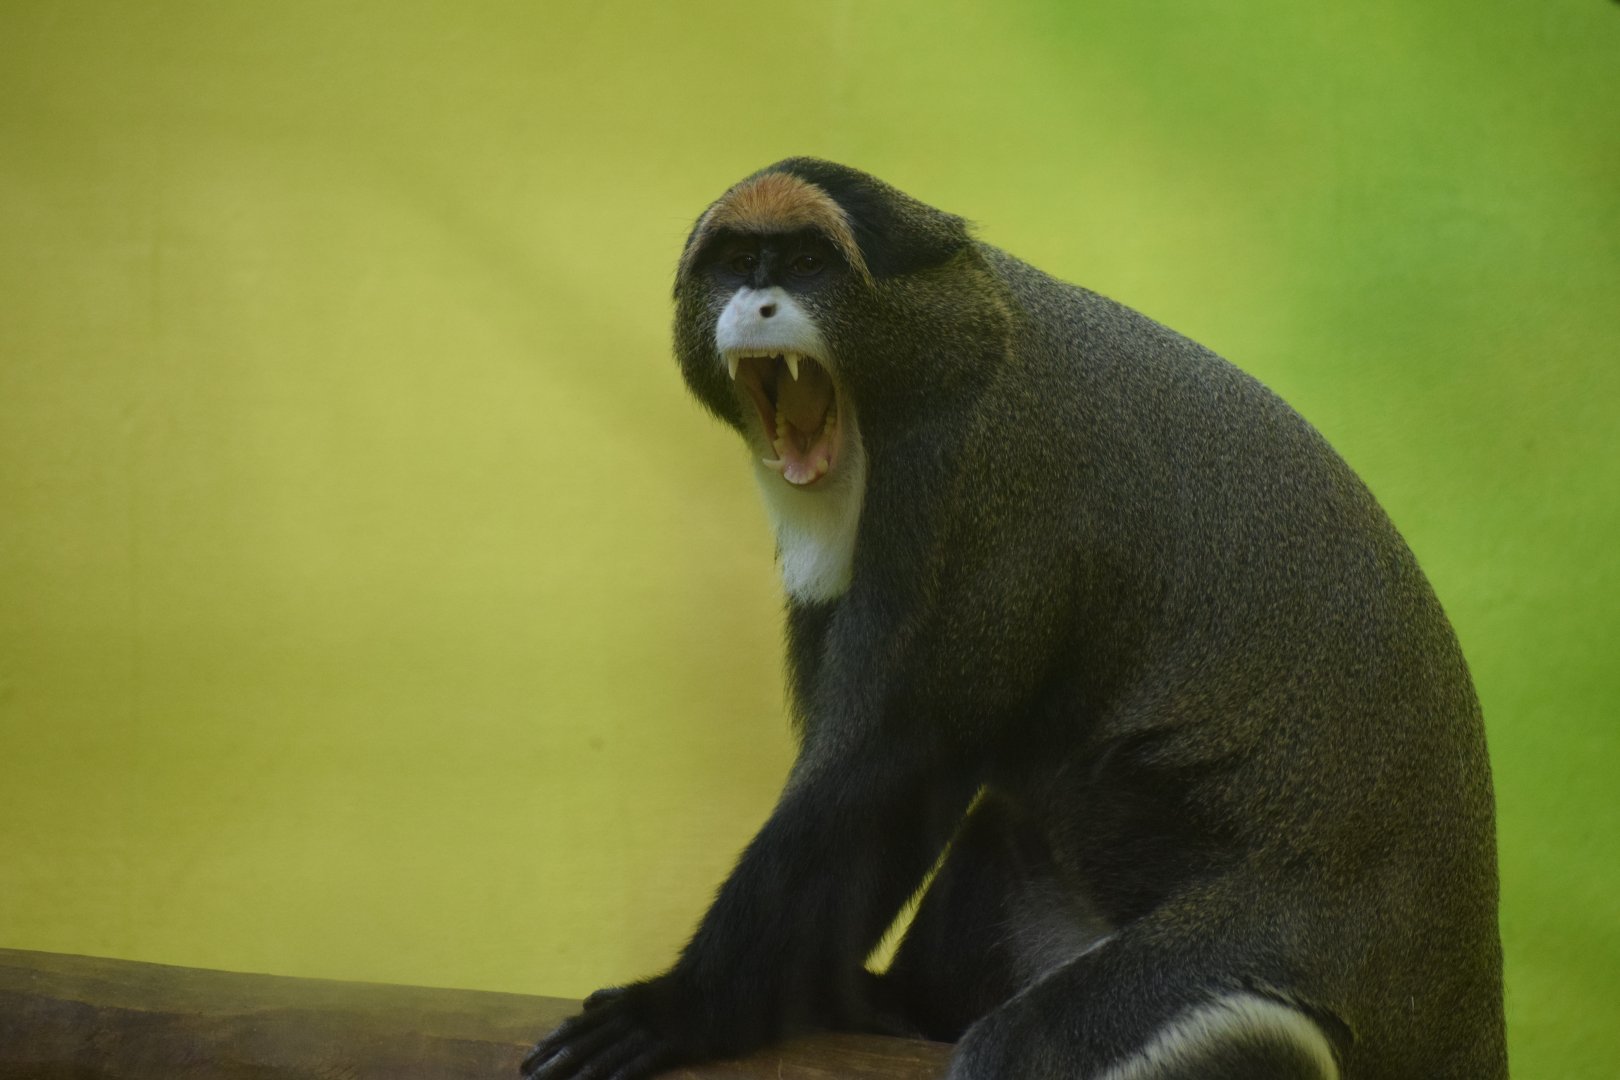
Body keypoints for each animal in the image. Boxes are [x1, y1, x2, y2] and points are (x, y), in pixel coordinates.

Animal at [520, 159, 1505, 1080]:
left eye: (805, 264)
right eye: (735, 263)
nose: (757, 303)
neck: (966, 350)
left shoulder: (982, 501)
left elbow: (887, 765)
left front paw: (682, 1010)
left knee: (1069, 1040)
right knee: (1012, 825)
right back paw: (898, 1005)